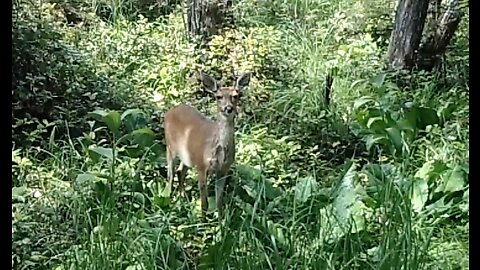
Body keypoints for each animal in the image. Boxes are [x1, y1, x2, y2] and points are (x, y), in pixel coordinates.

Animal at [164, 71, 249, 217]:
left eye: (236, 95)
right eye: (218, 96)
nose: (228, 108)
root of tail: (171, 111)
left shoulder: (223, 169)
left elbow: (219, 202)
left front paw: (221, 222)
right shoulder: (201, 166)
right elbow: (205, 204)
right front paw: (202, 221)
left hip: (187, 155)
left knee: (180, 172)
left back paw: (183, 203)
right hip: (170, 147)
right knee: (171, 175)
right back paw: (169, 203)